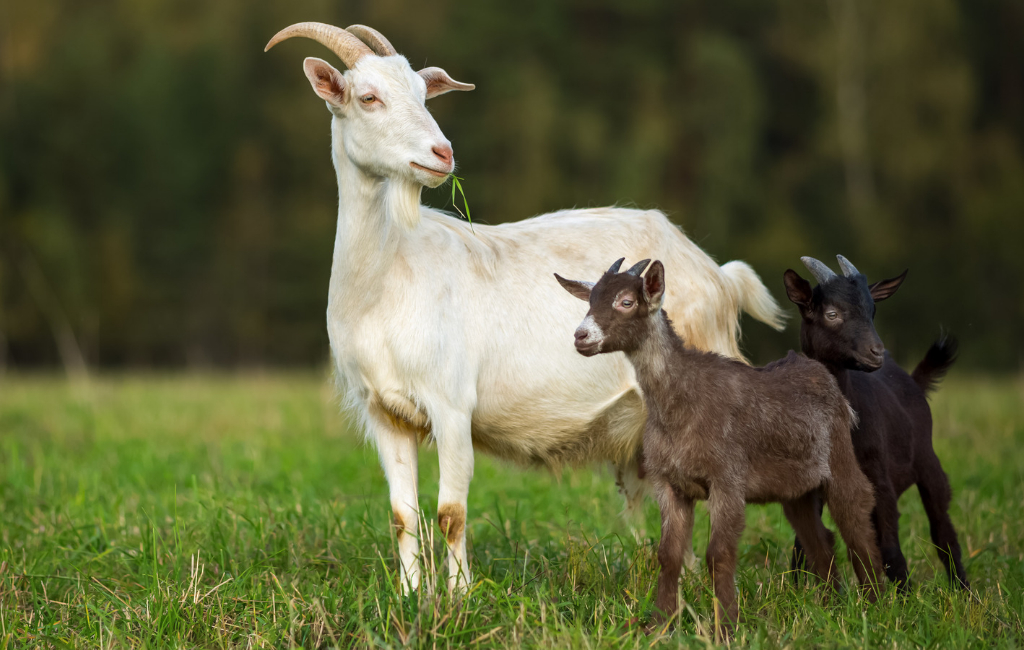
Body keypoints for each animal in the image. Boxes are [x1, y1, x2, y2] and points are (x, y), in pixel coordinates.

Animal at [266, 22, 782, 593]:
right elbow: (403, 515)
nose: (442, 153)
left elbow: (451, 513)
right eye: (368, 98)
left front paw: (459, 597)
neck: (386, 279)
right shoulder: (384, 412)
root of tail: (718, 275)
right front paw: (410, 595)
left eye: (424, 95)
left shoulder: (451, 404)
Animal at [557, 256, 884, 634]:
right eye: (591, 300)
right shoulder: (669, 483)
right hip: (796, 489)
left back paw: (877, 605)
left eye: (625, 301)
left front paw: (726, 627)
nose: (581, 336)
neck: (680, 400)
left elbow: (719, 554)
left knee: (856, 514)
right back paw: (831, 606)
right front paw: (659, 626)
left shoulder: (727, 479)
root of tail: (822, 374)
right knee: (821, 539)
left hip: (840, 454)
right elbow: (668, 555)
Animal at [782, 256, 966, 593]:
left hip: (928, 461)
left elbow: (890, 546)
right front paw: (797, 592)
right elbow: (804, 544)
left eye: (873, 311)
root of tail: (913, 381)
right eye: (832, 313)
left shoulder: (878, 476)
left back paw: (964, 591)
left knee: (942, 531)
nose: (876, 352)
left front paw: (904, 599)